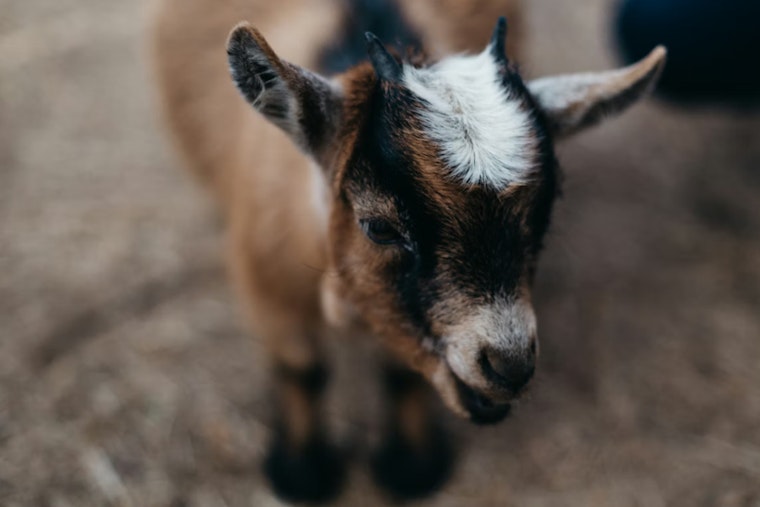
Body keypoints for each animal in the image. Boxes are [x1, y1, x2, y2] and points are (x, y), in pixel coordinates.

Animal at [152, 0, 665, 501]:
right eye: (378, 227)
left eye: (546, 211)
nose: (510, 366)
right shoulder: (266, 282)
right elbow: (303, 368)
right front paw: (304, 473)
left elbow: (400, 372)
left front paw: (410, 467)